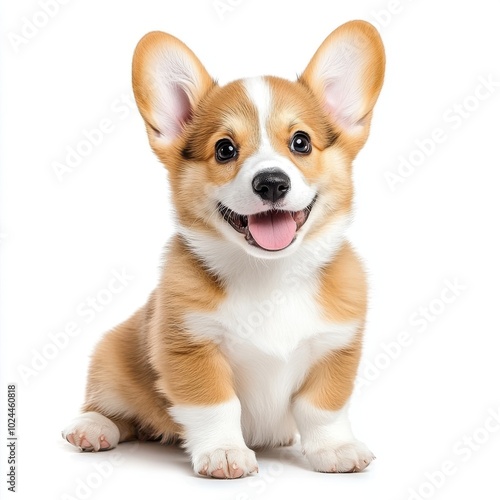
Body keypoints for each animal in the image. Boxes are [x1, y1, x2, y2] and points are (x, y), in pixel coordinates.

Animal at [61, 21, 382, 478]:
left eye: (301, 142)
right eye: (225, 149)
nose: (272, 183)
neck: (269, 275)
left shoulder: (336, 347)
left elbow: (322, 409)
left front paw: (334, 449)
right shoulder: (190, 347)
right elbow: (216, 406)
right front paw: (224, 452)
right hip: (111, 356)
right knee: (110, 408)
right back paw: (92, 428)